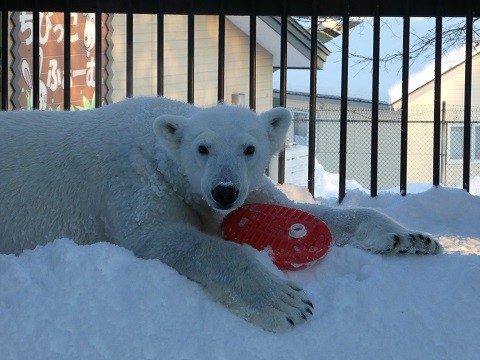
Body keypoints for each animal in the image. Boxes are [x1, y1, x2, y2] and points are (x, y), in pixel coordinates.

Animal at [0, 97, 440, 334]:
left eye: (249, 148)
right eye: (202, 148)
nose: (224, 191)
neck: (157, 145)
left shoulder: (244, 189)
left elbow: (296, 211)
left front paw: (411, 237)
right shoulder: (135, 181)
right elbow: (164, 237)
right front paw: (286, 303)